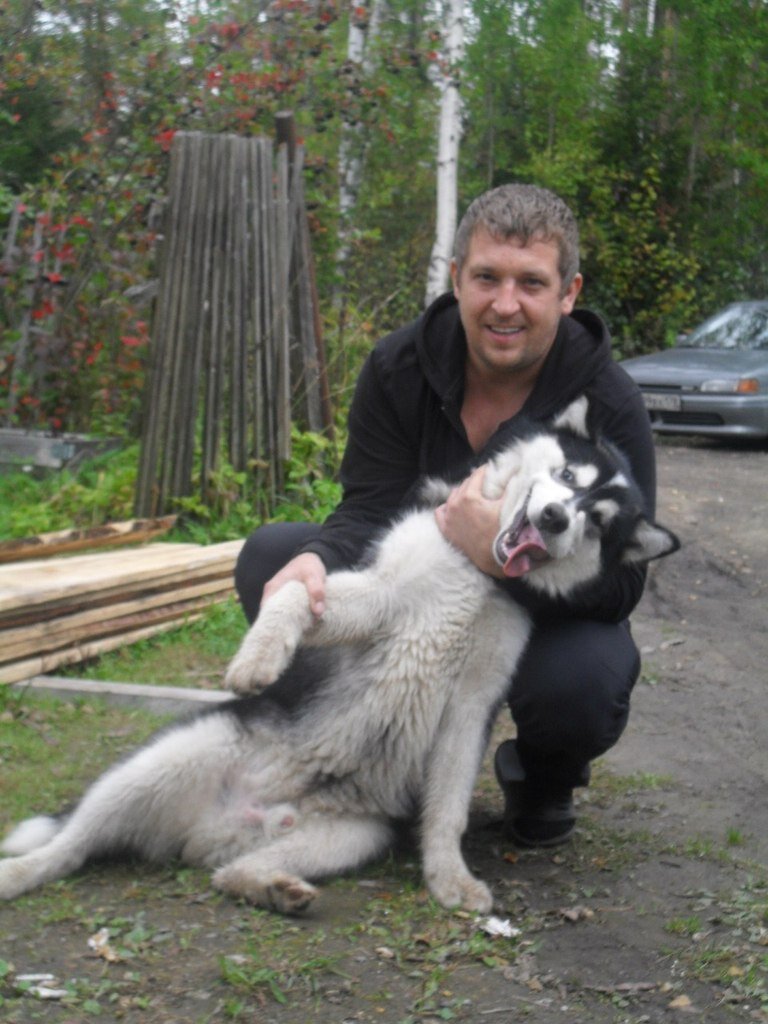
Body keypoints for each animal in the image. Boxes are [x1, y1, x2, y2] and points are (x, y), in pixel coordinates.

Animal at [0, 397, 679, 913]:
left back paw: (271, 886)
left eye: (598, 523)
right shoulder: (380, 598)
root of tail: (225, 826)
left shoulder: (471, 704)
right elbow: (299, 590)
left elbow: (449, 809)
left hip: (353, 838)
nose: (557, 518)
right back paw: (20, 874)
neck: (479, 570)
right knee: (72, 844)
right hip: (168, 760)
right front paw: (259, 657)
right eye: (568, 478)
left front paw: (448, 877)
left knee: (227, 874)